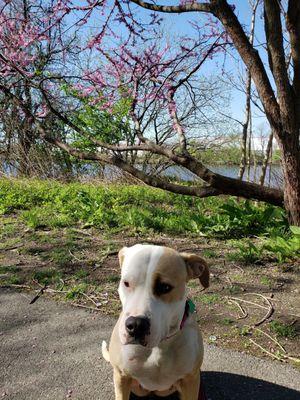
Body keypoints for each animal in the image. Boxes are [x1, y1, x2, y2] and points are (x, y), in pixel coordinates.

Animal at [102, 244, 210, 400]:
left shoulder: (191, 380)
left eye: (165, 287)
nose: (136, 325)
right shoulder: (121, 377)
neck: (159, 345)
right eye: (126, 283)